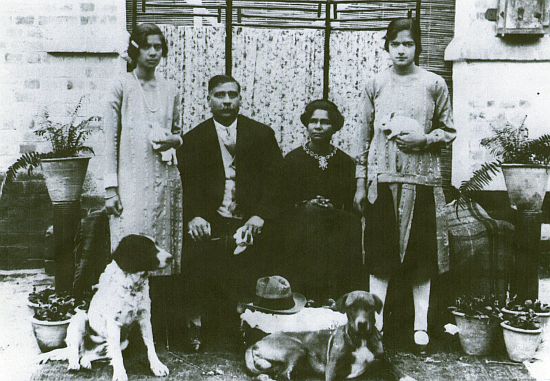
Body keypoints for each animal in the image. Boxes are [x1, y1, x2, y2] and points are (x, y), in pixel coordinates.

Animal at [246, 290, 414, 378]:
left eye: (369, 307)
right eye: (351, 307)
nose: (361, 324)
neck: (361, 339)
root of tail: (257, 342)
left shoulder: (383, 359)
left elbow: (396, 369)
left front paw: (407, 377)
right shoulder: (332, 367)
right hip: (298, 348)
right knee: (284, 374)